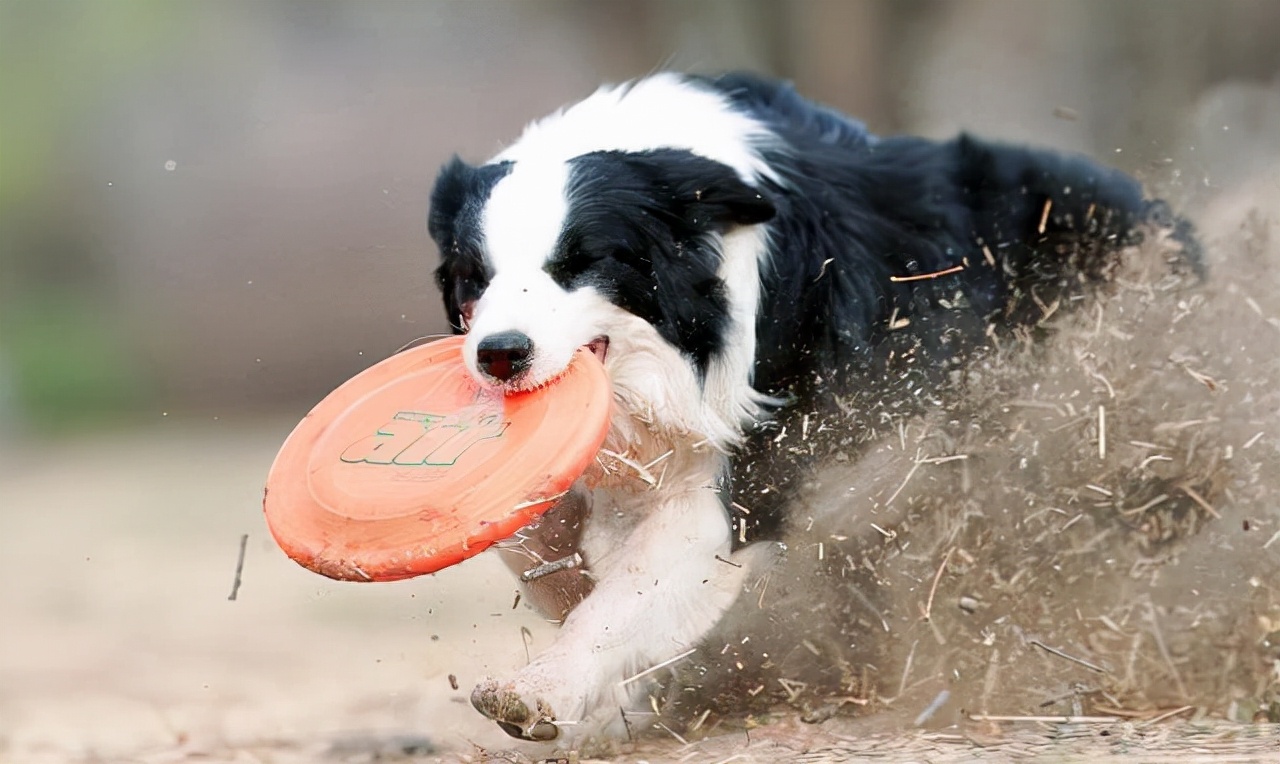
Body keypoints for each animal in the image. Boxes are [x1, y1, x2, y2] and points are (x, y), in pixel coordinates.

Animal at [430, 71, 1198, 737]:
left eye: (581, 263)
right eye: (475, 276)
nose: (500, 354)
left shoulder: (740, 469)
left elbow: (627, 593)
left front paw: (543, 691)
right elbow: (534, 539)